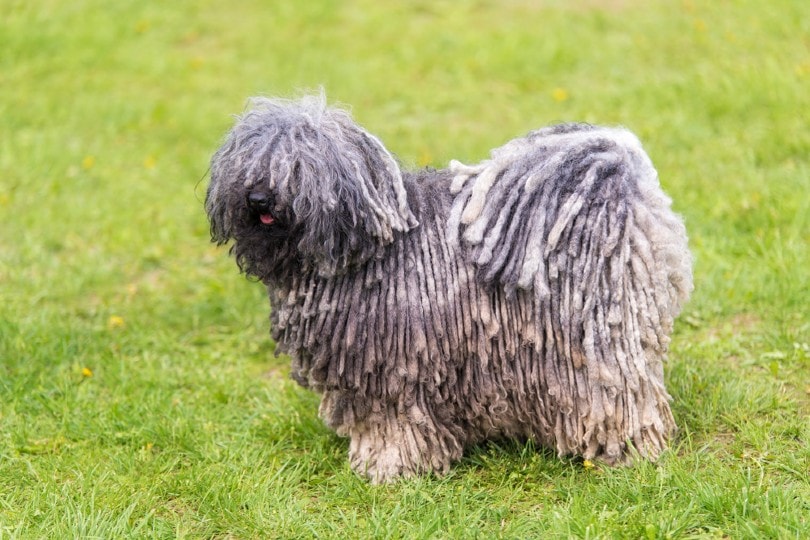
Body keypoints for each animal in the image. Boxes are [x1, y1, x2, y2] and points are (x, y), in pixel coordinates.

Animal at [205, 92, 692, 480]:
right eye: (250, 162)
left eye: (298, 165)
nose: (259, 198)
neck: (375, 239)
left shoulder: (394, 365)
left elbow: (395, 423)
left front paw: (389, 468)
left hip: (594, 338)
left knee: (620, 393)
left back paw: (626, 451)